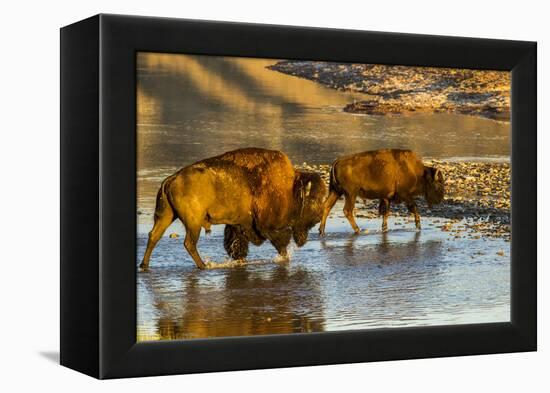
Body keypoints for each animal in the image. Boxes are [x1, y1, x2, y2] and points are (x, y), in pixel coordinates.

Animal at [140, 147, 328, 270]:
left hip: (166, 215)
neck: (290, 188)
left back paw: (144, 265)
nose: (318, 217)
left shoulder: (239, 224)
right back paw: (204, 266)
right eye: (313, 200)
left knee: (154, 236)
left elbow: (237, 246)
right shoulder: (267, 226)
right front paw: (285, 258)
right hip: (193, 222)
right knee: (189, 243)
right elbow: (280, 242)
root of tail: (171, 179)